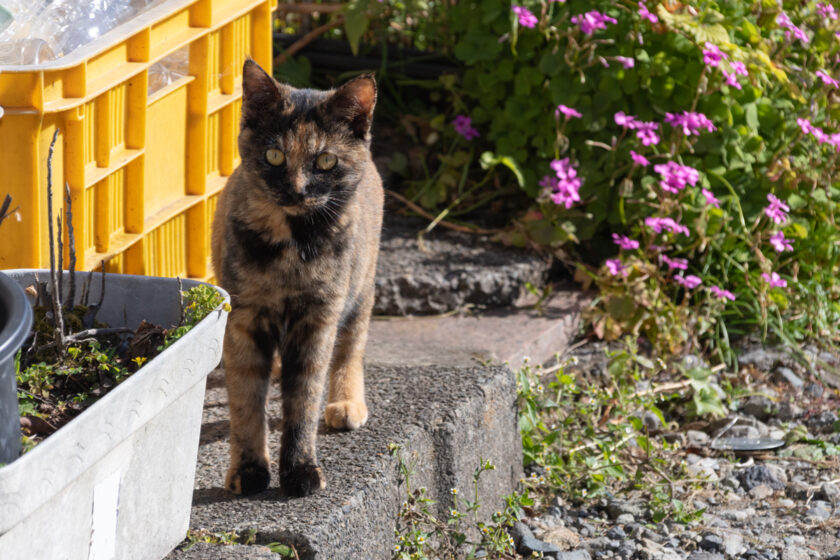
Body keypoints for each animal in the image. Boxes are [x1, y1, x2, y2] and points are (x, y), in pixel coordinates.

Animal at [210, 59, 384, 496]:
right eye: (273, 155)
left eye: (325, 161)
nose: (296, 190)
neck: (292, 244)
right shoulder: (244, 319)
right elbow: (245, 402)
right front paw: (250, 471)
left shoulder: (317, 320)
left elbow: (303, 399)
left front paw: (300, 471)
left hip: (361, 288)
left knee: (351, 347)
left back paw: (345, 403)